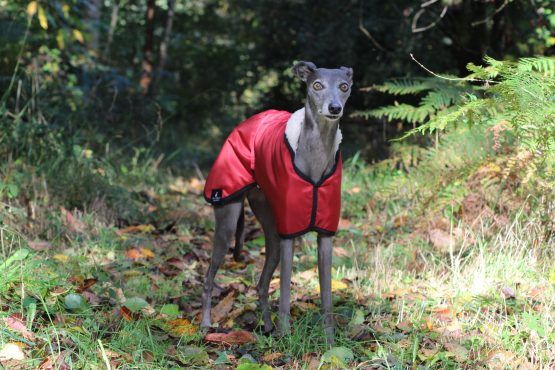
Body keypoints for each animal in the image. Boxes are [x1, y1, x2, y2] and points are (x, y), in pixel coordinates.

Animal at [202, 61, 354, 344]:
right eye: (317, 85)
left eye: (344, 86)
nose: (334, 108)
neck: (315, 158)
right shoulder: (288, 237)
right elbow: (284, 293)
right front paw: (287, 337)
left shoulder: (325, 236)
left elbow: (327, 296)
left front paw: (329, 342)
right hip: (228, 218)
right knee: (208, 277)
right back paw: (206, 324)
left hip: (270, 228)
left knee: (261, 284)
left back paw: (268, 327)